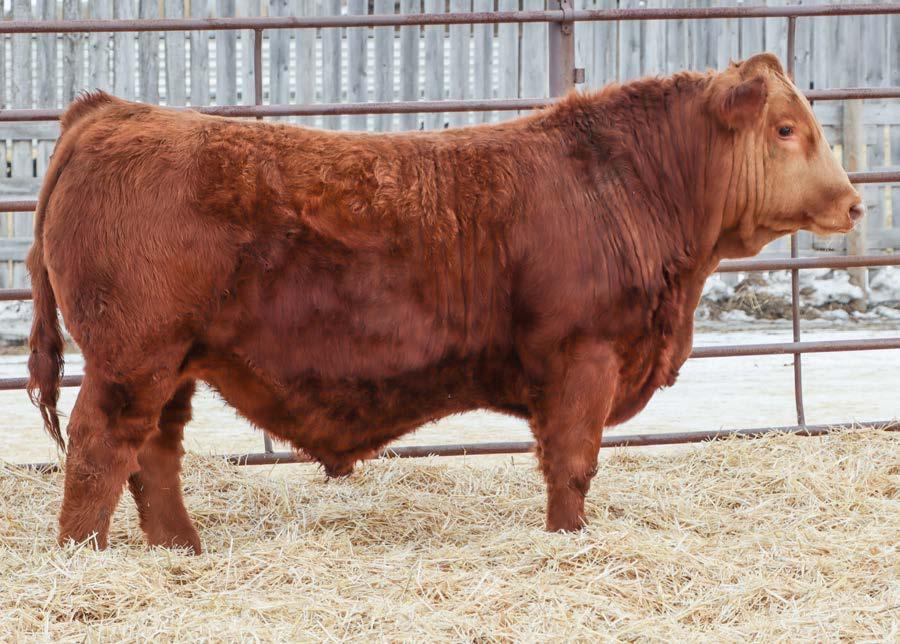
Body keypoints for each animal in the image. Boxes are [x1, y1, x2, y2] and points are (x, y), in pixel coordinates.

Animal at [27, 53, 863, 553]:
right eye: (786, 128)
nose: (854, 203)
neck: (628, 185)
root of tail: (109, 111)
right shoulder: (582, 358)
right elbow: (573, 463)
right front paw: (569, 541)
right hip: (132, 356)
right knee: (100, 447)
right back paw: (84, 555)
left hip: (172, 362)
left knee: (154, 454)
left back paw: (180, 548)